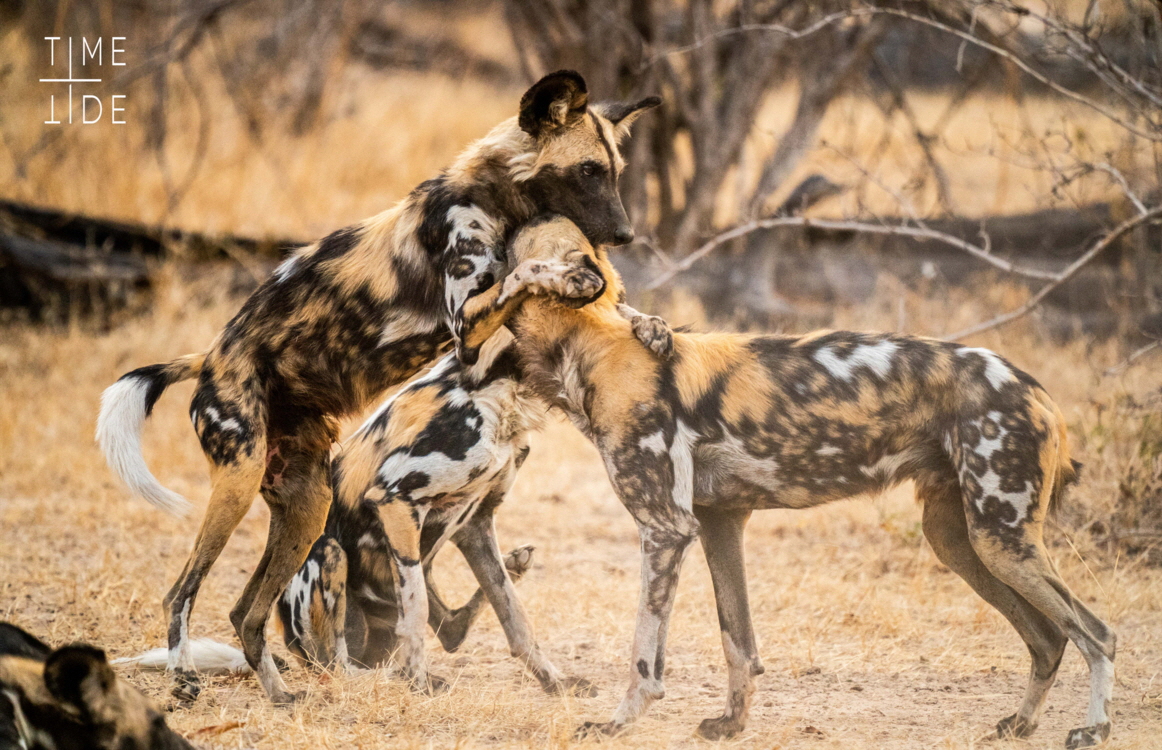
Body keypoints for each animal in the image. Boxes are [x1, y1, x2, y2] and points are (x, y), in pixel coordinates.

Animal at [94, 68, 664, 702]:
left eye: (615, 170)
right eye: (587, 171)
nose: (626, 234)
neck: (497, 198)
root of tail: (211, 357)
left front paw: (648, 325)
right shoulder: (466, 325)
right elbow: (526, 272)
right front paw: (569, 278)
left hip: (307, 506)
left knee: (248, 612)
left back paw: (281, 695)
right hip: (241, 489)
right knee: (183, 594)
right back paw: (186, 678)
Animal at [506, 216, 1115, 748]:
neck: (592, 347)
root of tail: (1035, 389)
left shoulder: (665, 530)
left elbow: (643, 657)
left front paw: (617, 724)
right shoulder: (717, 524)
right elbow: (738, 642)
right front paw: (732, 723)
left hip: (1001, 541)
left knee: (1097, 633)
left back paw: (1093, 729)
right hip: (961, 541)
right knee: (1049, 639)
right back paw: (1021, 723)